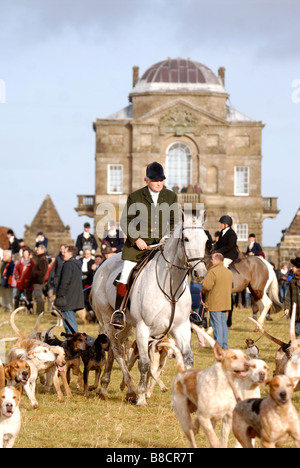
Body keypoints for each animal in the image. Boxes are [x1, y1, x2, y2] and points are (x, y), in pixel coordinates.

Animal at [92, 214, 207, 404]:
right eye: (186, 239)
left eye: (206, 240)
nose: (200, 273)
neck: (170, 286)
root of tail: (103, 265)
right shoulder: (143, 328)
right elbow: (144, 364)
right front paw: (140, 396)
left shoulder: (181, 327)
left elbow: (188, 359)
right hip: (108, 319)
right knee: (117, 351)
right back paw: (129, 389)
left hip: (125, 325)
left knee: (115, 350)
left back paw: (106, 387)